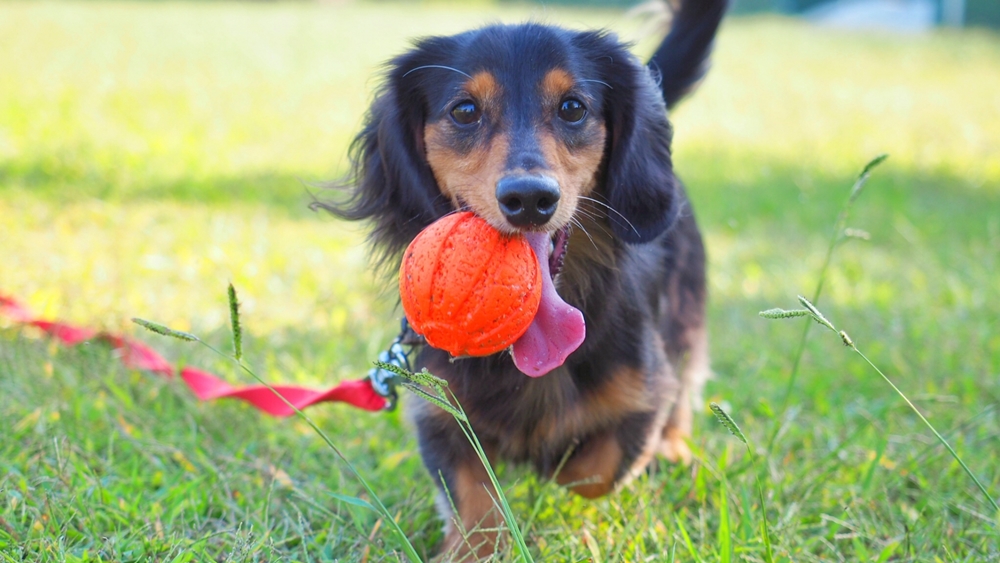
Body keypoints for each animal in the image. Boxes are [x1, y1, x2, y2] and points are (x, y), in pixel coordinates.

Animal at [320, 0, 728, 556]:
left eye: (573, 107)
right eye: (464, 111)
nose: (530, 198)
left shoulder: (644, 395)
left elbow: (589, 471)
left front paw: (553, 467)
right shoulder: (441, 412)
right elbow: (474, 500)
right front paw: (472, 549)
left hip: (684, 325)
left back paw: (675, 453)